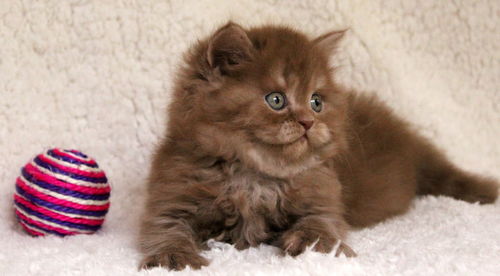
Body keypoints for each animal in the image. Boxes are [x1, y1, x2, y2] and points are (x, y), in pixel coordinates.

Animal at [138, 22, 500, 270]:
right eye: (276, 100)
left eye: (316, 101)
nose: (308, 122)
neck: (255, 176)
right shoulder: (173, 193)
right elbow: (165, 227)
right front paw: (174, 257)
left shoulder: (323, 197)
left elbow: (320, 223)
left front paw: (313, 245)